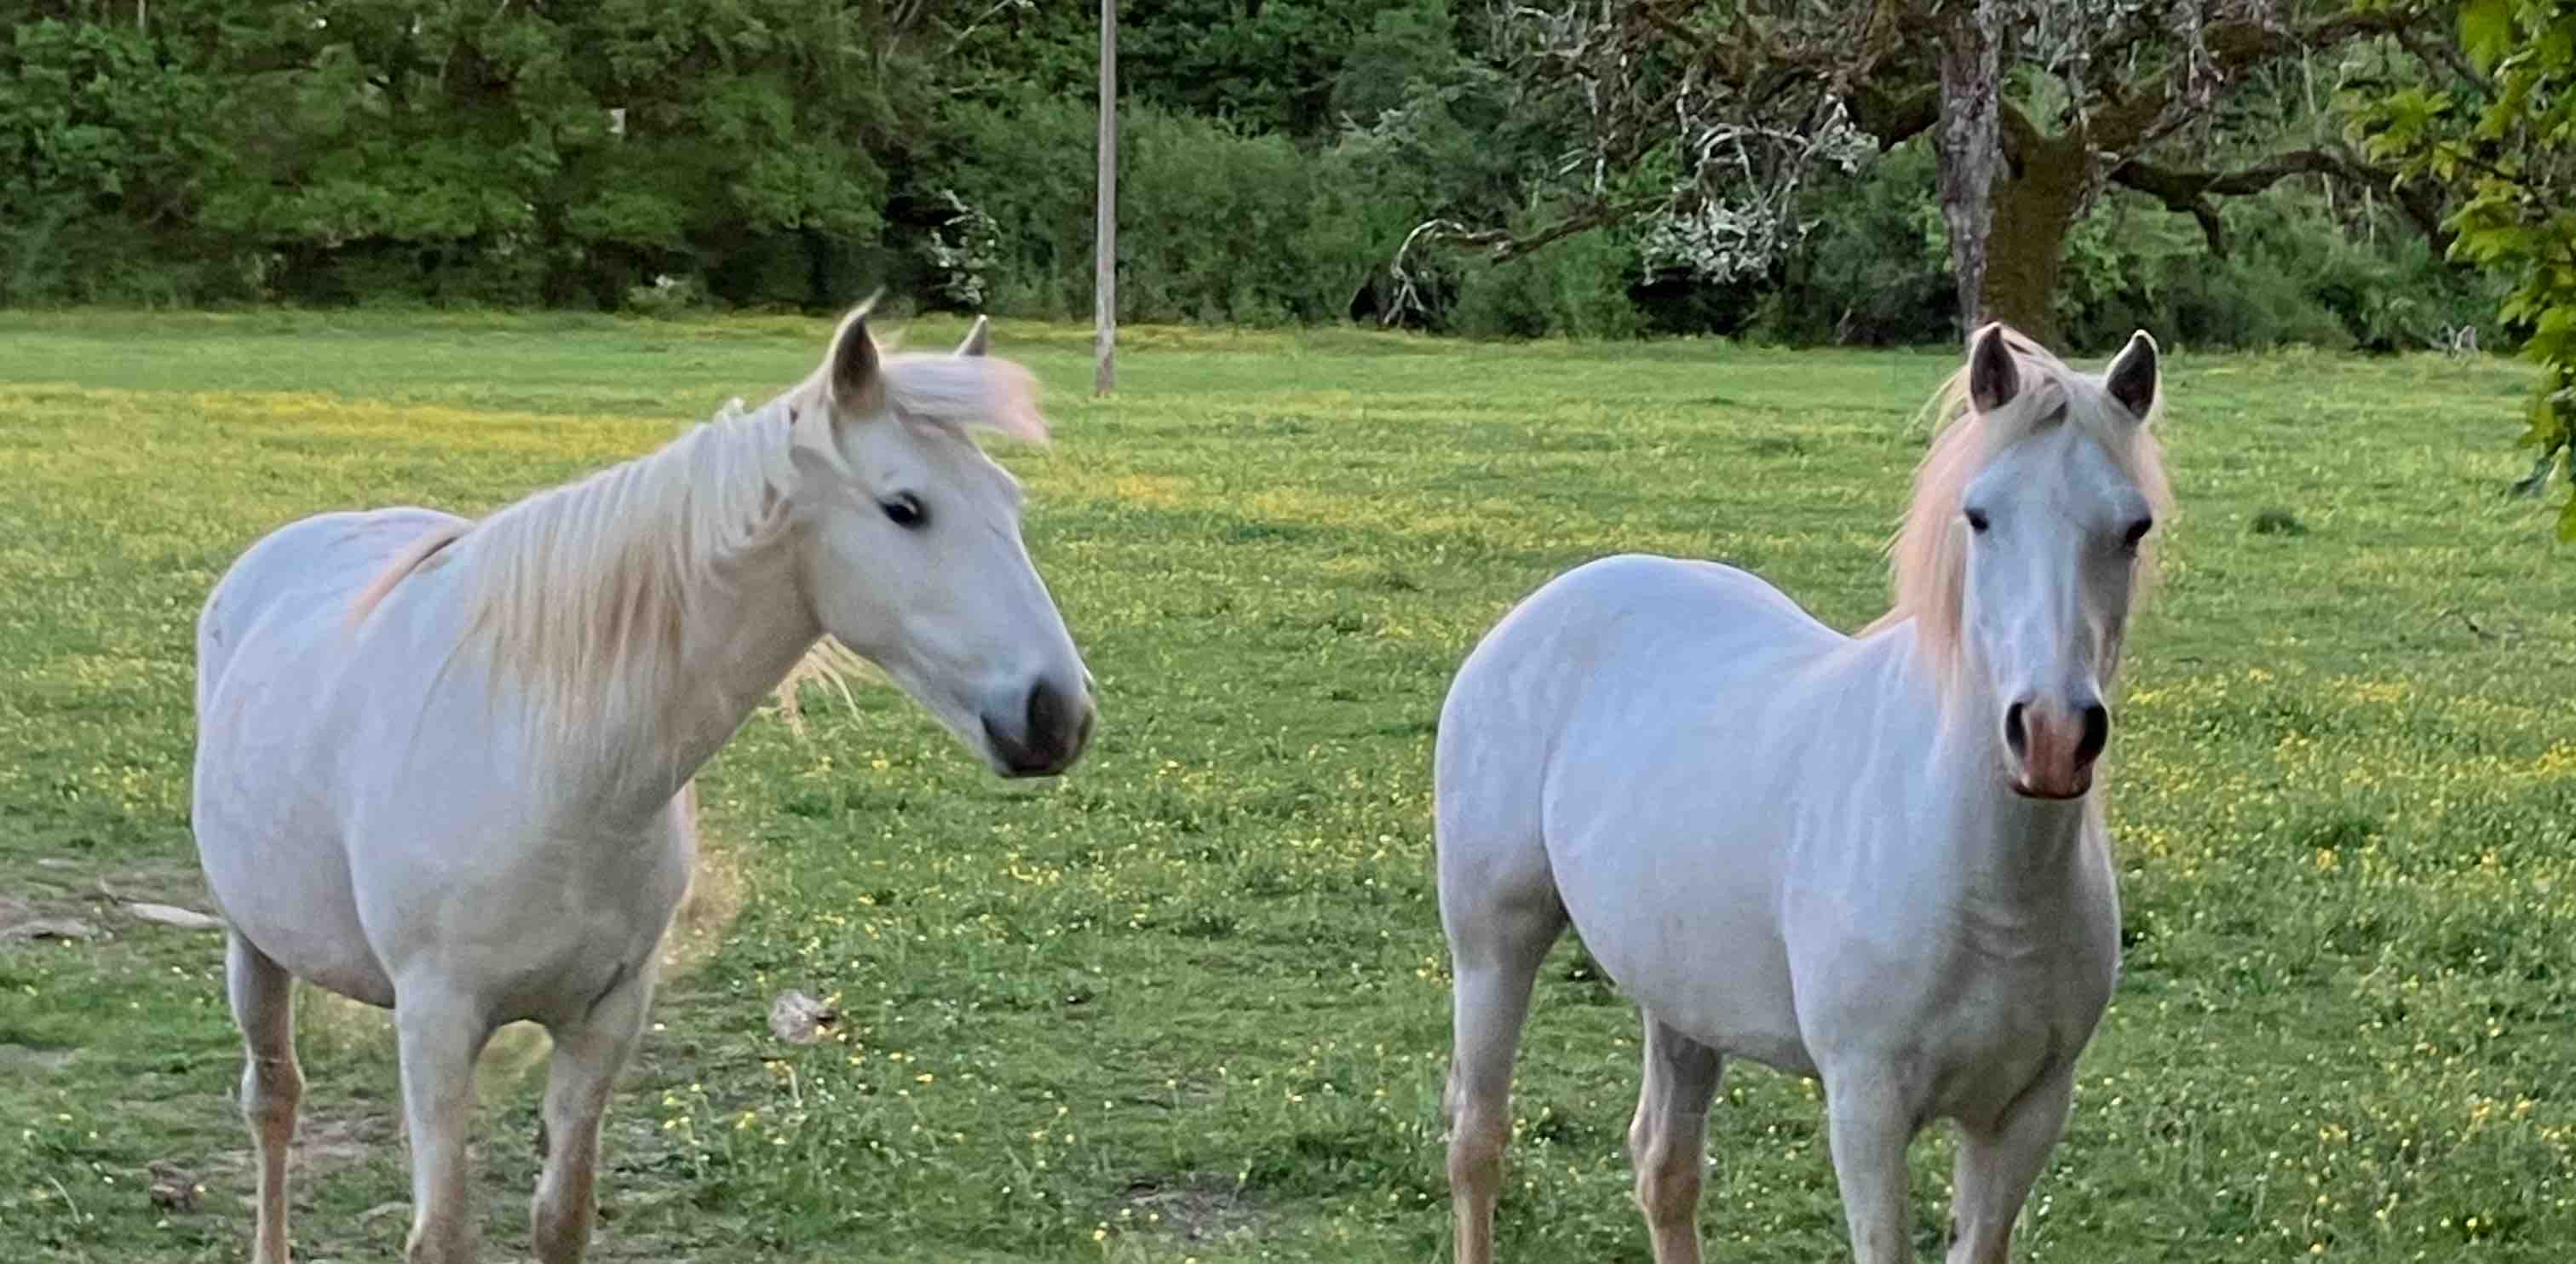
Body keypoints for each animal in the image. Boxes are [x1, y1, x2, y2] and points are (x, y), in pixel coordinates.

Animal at [189, 303, 1095, 1264]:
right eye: (905, 507)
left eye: (1008, 500)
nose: (1057, 713)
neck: (556, 771)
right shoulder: (436, 1022)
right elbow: (442, 1234)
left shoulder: (606, 1015)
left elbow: (563, 1216)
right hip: (254, 944)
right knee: (274, 1102)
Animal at [1433, 323, 2170, 1264]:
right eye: (1980, 516)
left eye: (2133, 527)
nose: (2050, 734)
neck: (1985, 882)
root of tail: (1539, 611)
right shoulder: (1868, 1107)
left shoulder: (2025, 1114)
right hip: (1494, 947)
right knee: (1477, 1140)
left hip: (1682, 993)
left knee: (1665, 1168)